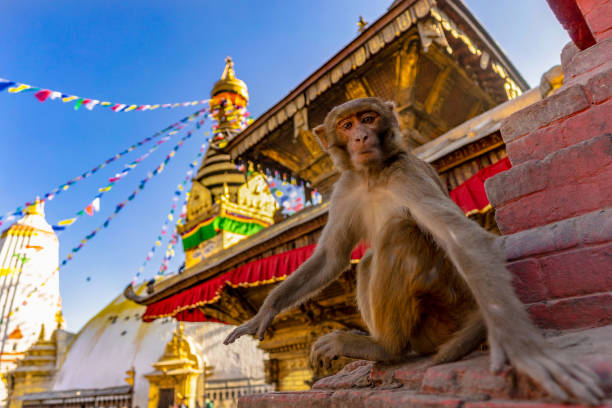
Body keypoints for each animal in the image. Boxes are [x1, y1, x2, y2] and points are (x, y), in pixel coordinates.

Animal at [225, 98, 604, 404]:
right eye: (347, 125)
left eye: (368, 118)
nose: (361, 137)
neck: (373, 175)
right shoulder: (345, 188)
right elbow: (332, 256)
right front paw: (264, 312)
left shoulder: (408, 174)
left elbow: (459, 237)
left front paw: (523, 349)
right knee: (367, 260)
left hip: (444, 312)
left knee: (400, 232)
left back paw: (385, 347)